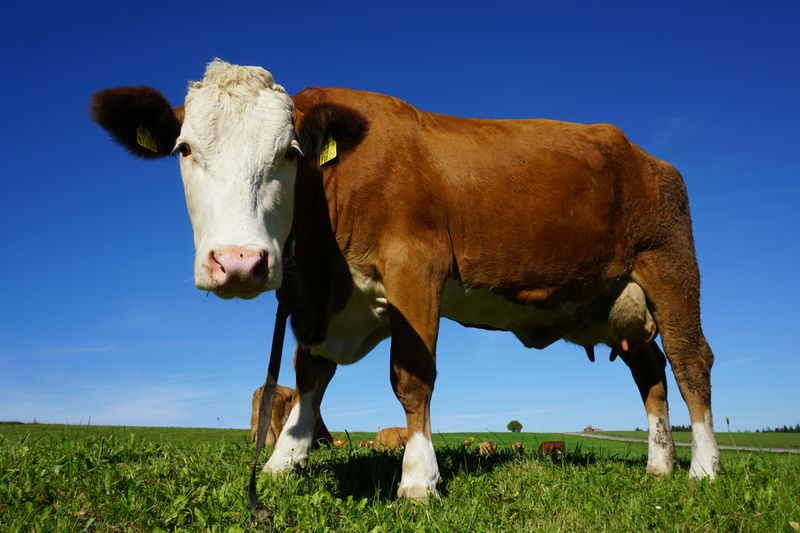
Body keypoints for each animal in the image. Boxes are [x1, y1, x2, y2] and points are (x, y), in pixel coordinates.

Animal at [91, 59, 721, 500]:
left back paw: (704, 469)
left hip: (669, 267)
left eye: (289, 152)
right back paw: (659, 466)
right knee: (650, 372)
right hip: (614, 301)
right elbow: (309, 376)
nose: (240, 262)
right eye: (183, 148)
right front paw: (281, 463)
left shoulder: (415, 267)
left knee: (691, 363)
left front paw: (418, 478)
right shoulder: (320, 302)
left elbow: (411, 378)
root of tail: (647, 157)